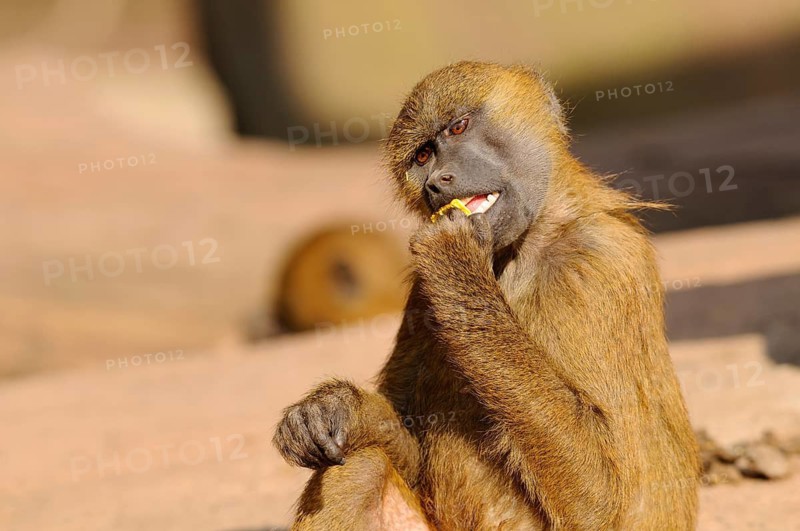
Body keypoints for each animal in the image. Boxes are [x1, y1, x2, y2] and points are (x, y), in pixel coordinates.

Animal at [273, 61, 700, 530]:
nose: (437, 184)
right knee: (358, 463)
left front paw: (454, 258)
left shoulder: (596, 265)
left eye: (458, 127)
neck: (523, 249)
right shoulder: (422, 293)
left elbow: (600, 498)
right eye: (422, 156)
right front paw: (336, 410)